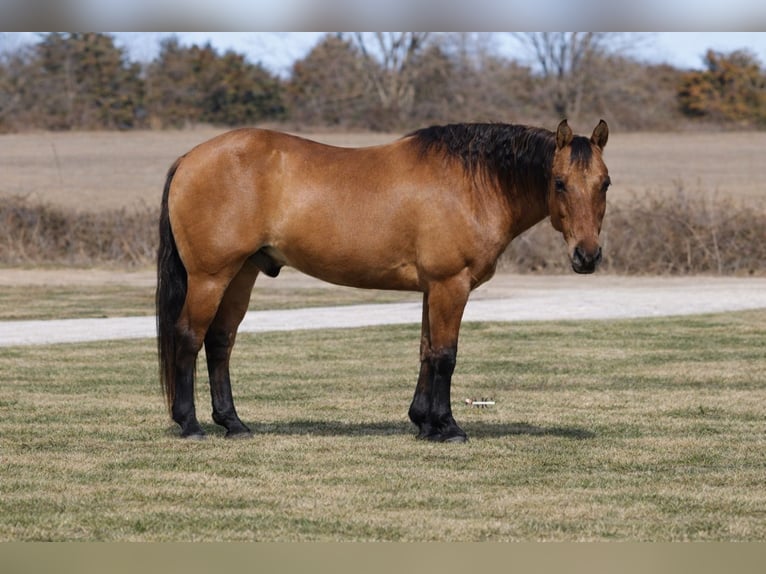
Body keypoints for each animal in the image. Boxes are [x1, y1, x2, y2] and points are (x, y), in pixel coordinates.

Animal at [156, 119, 610, 442]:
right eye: (559, 183)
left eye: (604, 183)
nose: (587, 256)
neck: (472, 183)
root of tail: (189, 158)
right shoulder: (450, 284)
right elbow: (445, 355)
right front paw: (448, 427)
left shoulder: (433, 288)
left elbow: (427, 351)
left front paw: (424, 423)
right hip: (210, 277)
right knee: (189, 336)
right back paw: (190, 424)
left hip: (241, 274)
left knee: (220, 342)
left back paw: (233, 423)